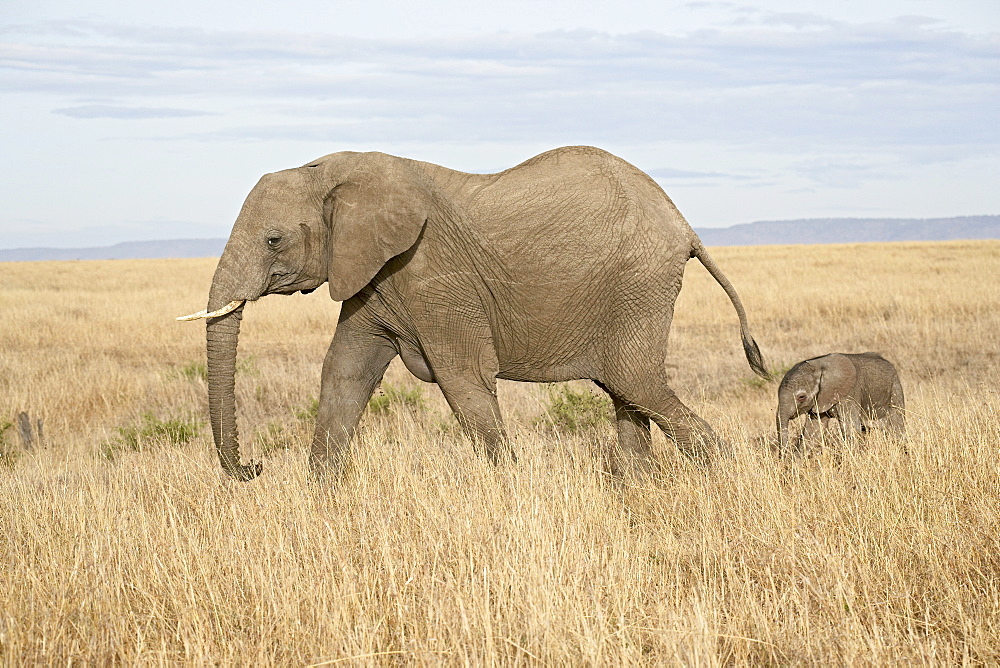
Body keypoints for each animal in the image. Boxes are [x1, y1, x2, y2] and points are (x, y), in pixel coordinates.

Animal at [180, 146, 768, 480]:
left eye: (273, 240)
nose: (254, 467)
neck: (331, 172)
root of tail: (684, 223)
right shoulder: (373, 274)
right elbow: (345, 371)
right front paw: (321, 497)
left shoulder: (432, 272)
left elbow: (461, 378)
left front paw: (508, 492)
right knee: (625, 388)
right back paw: (642, 487)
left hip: (638, 281)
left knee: (635, 380)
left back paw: (727, 478)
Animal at [772, 352, 908, 452]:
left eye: (801, 397)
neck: (820, 366)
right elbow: (813, 432)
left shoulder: (849, 394)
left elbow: (851, 429)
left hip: (895, 391)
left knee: (897, 429)